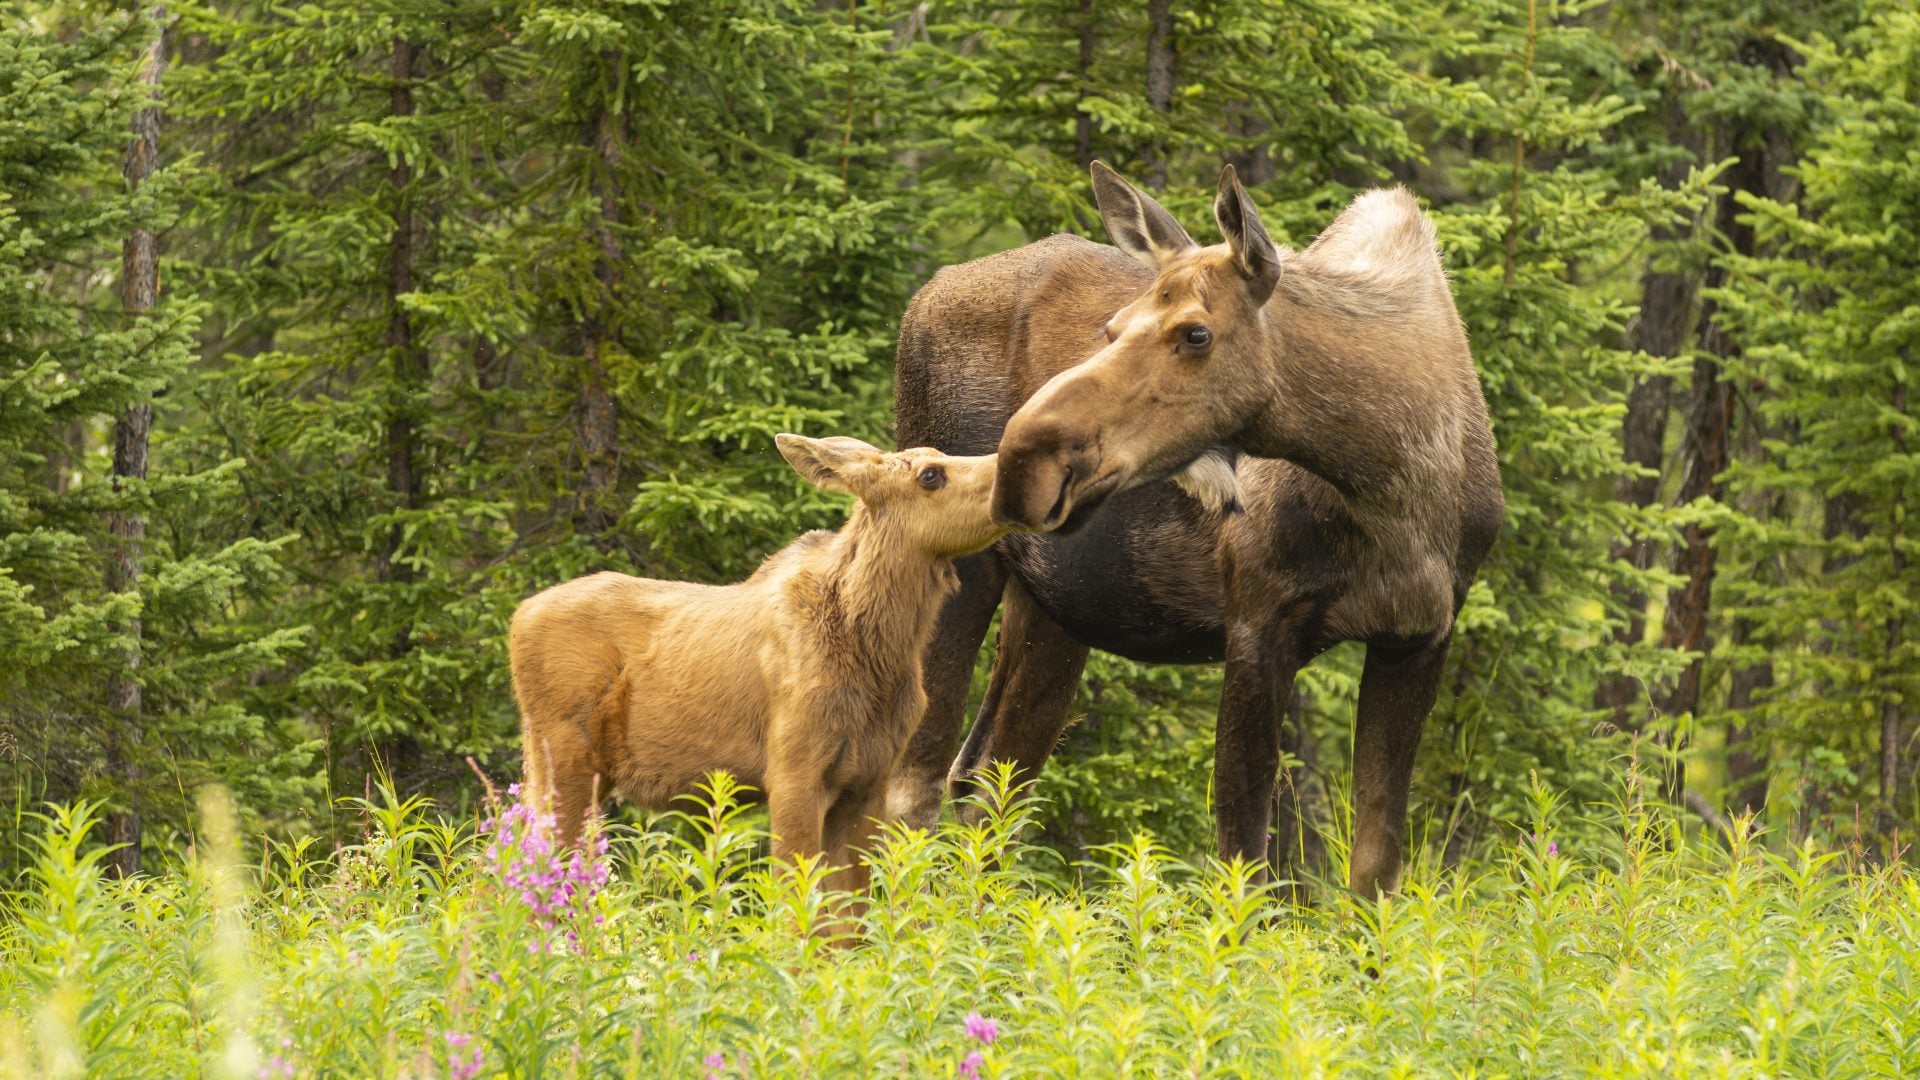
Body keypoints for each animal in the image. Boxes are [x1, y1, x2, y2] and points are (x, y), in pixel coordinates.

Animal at [510, 434, 1007, 905]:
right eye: (930, 475)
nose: (1006, 469)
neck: (878, 652)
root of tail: (517, 619)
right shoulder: (792, 772)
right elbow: (796, 903)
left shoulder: (867, 780)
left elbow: (850, 914)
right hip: (562, 757)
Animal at [884, 162, 1503, 897]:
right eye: (1113, 327)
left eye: (1195, 332)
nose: (1022, 459)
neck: (1394, 488)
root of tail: (923, 295)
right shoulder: (1258, 619)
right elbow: (1246, 862)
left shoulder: (1419, 634)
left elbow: (1374, 869)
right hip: (960, 565)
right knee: (911, 783)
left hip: (1053, 605)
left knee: (986, 779)